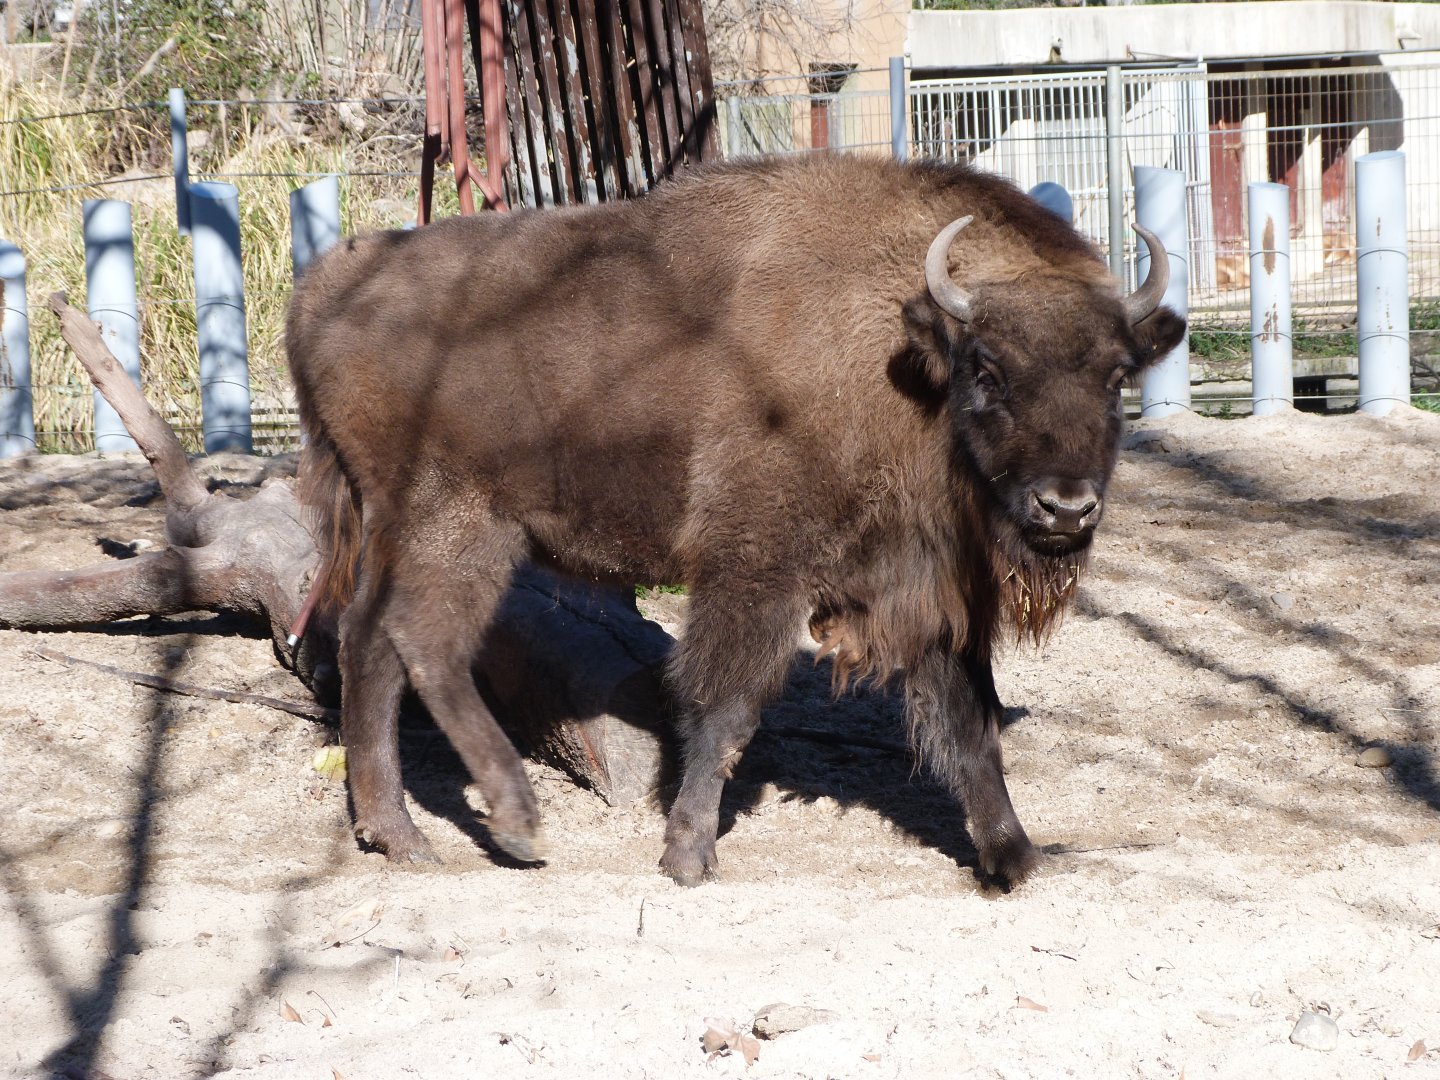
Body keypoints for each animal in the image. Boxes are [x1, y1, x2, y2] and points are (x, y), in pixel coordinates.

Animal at [287, 154, 1185, 890]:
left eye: (1115, 378)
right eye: (989, 370)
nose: (1066, 506)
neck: (900, 354)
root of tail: (321, 294)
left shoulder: (926, 588)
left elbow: (970, 723)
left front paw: (1014, 856)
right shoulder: (756, 563)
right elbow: (726, 705)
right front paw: (688, 853)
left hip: (398, 530)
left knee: (367, 643)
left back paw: (398, 835)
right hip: (461, 525)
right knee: (424, 642)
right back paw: (516, 825)